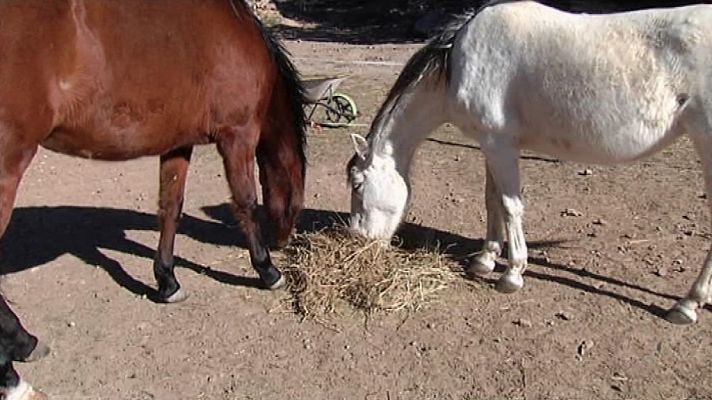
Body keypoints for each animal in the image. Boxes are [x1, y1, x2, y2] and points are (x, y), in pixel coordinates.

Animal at [0, 0, 304, 396]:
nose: (283, 241)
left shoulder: (178, 144)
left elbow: (170, 207)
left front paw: (167, 281)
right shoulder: (237, 135)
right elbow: (245, 202)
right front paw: (268, 271)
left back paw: (24, 342)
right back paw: (13, 375)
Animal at [348, 0, 712, 324]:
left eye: (358, 184)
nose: (359, 242)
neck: (458, 60)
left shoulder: (499, 145)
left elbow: (511, 206)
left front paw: (512, 274)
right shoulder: (493, 144)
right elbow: (492, 199)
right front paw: (485, 259)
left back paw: (687, 305)